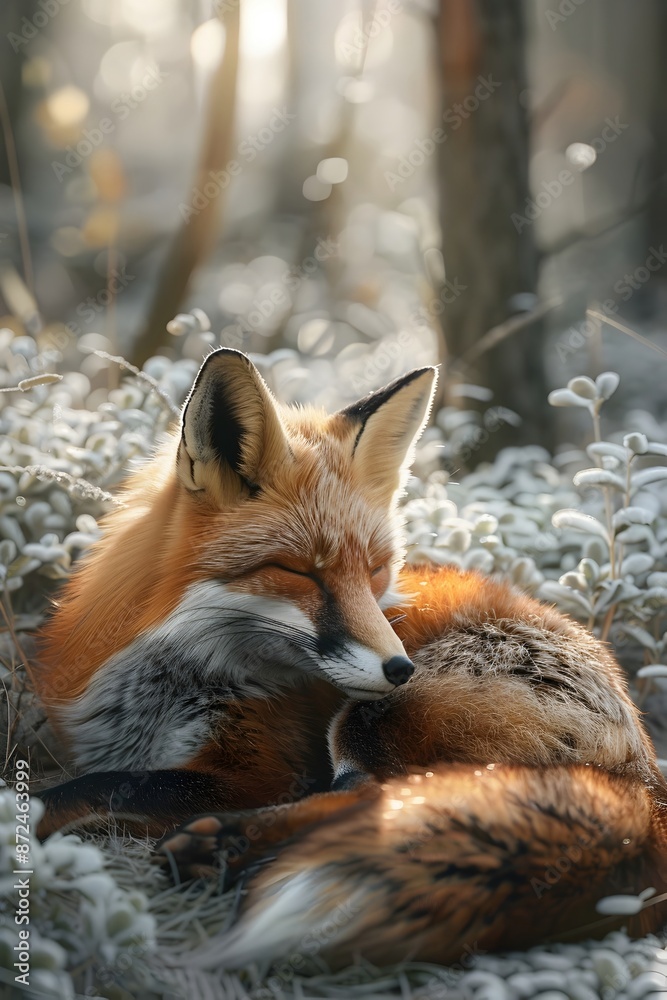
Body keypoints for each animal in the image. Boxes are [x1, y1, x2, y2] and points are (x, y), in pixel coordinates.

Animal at [33, 348, 667, 967]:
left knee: (374, 799)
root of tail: (648, 783)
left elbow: (105, 786)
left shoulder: (261, 773)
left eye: (375, 571)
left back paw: (219, 851)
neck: (166, 683)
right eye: (301, 573)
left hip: (368, 721)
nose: (402, 669)